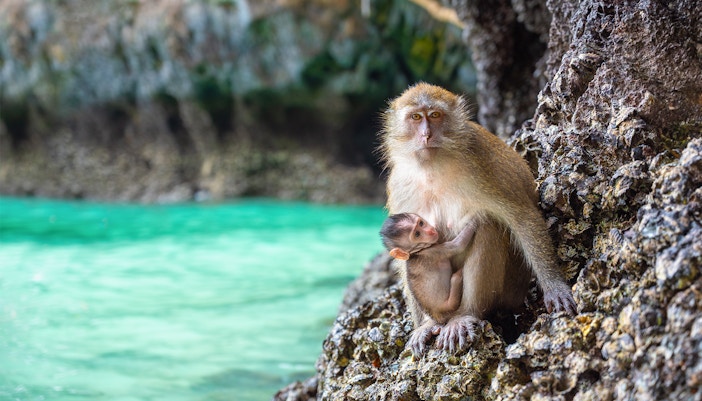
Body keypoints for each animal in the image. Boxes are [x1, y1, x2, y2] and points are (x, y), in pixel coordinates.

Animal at [379, 82, 577, 353]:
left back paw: (465, 315)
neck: (432, 169)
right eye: (416, 117)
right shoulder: (399, 184)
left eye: (435, 115)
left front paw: (555, 286)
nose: (426, 135)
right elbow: (404, 258)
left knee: (489, 226)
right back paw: (433, 321)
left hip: (511, 290)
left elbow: (521, 217)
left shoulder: (481, 164)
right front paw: (423, 325)